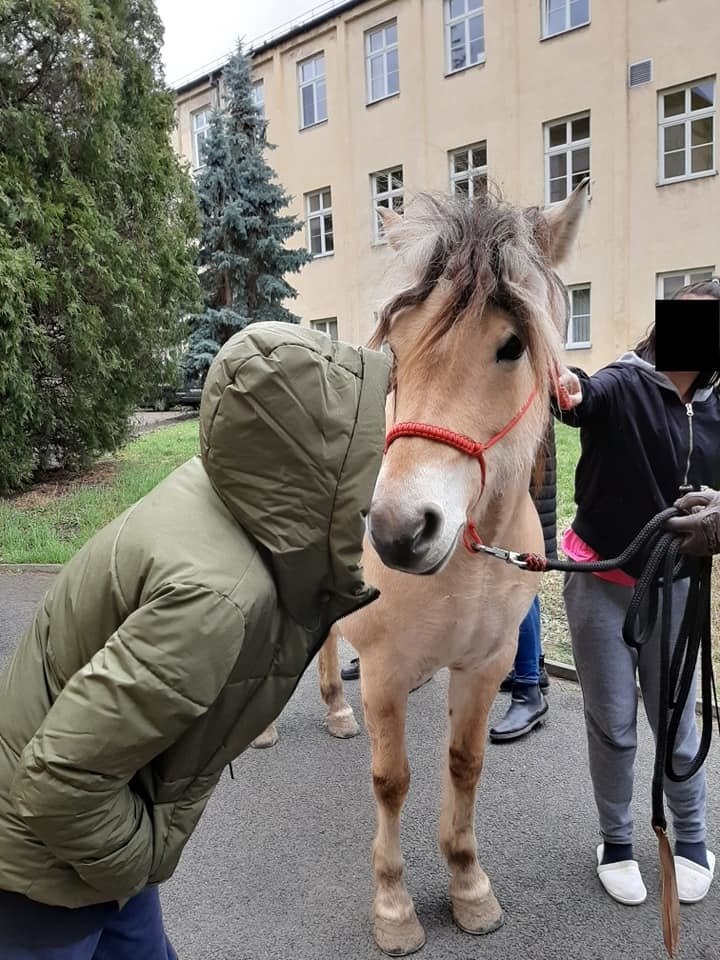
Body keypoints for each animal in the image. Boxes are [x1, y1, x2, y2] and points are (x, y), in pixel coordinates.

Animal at [252, 180, 584, 952]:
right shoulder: (386, 670)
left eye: (512, 344)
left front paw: (468, 886)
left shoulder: (486, 665)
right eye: (397, 346)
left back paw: (335, 711)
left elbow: (464, 766)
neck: (469, 560)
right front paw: (394, 907)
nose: (399, 532)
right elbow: (392, 780)